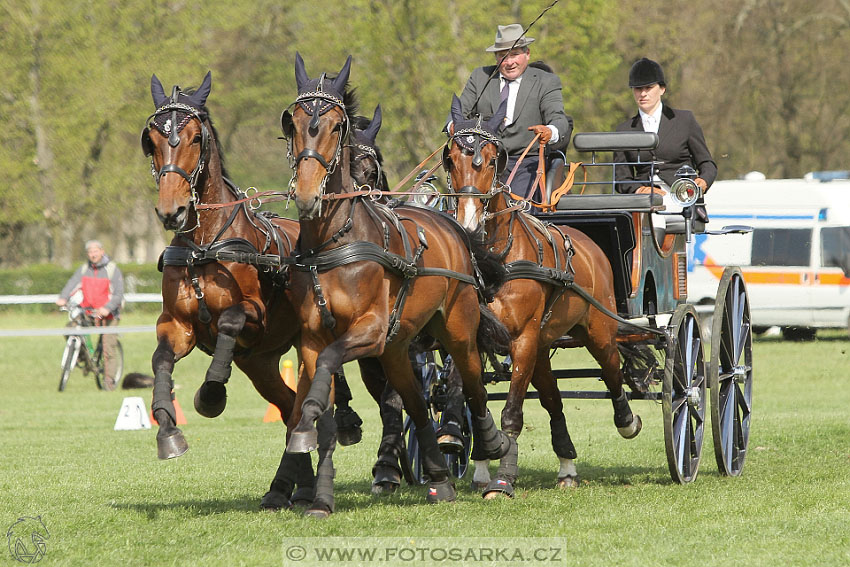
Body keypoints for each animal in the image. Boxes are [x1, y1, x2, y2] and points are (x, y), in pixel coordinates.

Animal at [274, 55, 506, 516]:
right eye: (294, 124)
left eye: (336, 127)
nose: (307, 194)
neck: (335, 240)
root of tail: (455, 226)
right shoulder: (314, 340)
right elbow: (325, 402)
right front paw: (320, 493)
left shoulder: (370, 330)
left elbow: (327, 377)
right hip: (398, 348)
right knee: (414, 402)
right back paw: (437, 475)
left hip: (456, 330)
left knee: (470, 384)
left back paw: (486, 448)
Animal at [444, 95, 636, 500]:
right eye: (450, 159)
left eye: (490, 158)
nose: (468, 223)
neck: (496, 261)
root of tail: (588, 243)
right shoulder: (473, 336)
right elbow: (472, 395)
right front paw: (476, 457)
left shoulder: (522, 339)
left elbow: (511, 411)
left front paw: (502, 479)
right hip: (544, 344)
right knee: (554, 399)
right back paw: (567, 466)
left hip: (597, 329)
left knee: (612, 371)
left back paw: (627, 420)